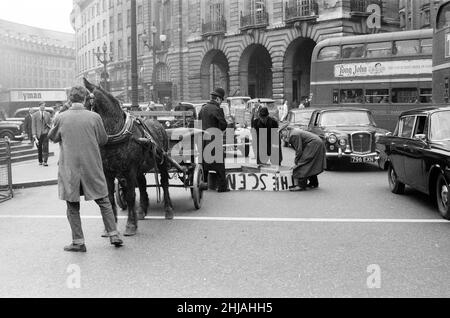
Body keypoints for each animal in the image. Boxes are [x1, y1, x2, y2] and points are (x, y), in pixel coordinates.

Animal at [83, 77, 175, 236]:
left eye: (87, 104)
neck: (116, 133)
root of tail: (157, 122)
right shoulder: (107, 172)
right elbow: (110, 197)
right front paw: (110, 227)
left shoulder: (129, 170)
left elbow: (131, 196)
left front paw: (131, 225)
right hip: (140, 168)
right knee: (143, 184)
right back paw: (142, 211)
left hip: (161, 162)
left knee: (164, 183)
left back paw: (168, 210)